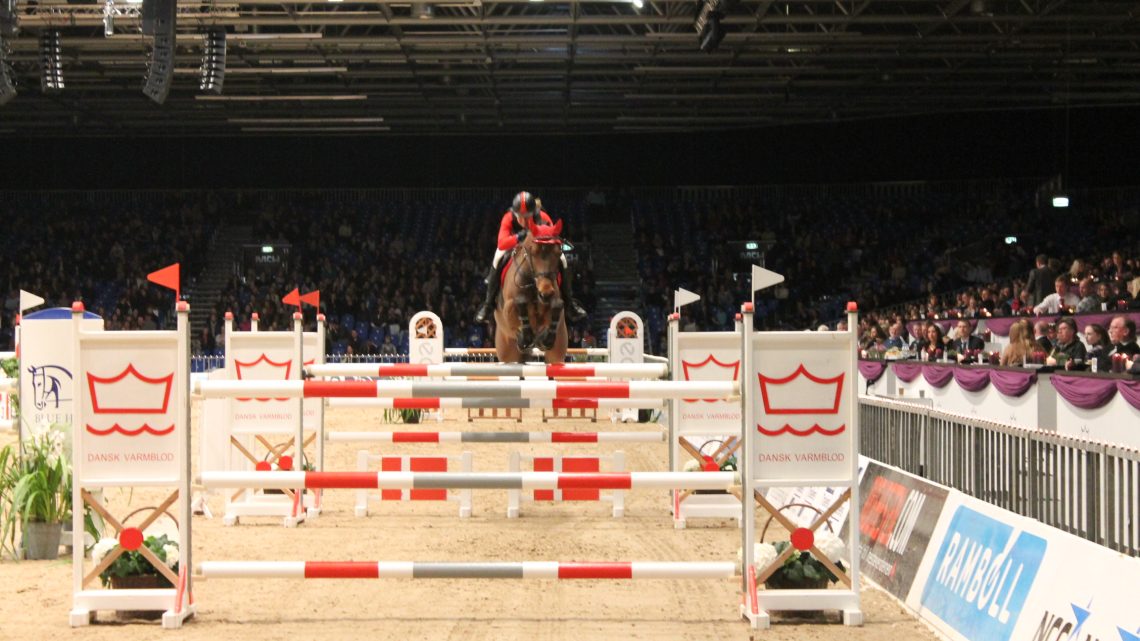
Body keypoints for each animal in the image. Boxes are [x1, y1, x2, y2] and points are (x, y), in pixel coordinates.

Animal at [494, 216, 570, 362]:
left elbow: (557, 305)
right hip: (507, 352)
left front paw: (545, 339)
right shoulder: (508, 307)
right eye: (533, 252)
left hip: (557, 353)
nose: (545, 293)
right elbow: (518, 304)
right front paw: (525, 338)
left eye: (559, 253)